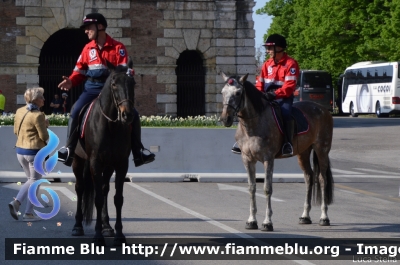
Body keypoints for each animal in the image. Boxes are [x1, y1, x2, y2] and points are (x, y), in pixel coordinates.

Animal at [220, 72, 332, 231]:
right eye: (222, 92)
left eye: (238, 93)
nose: (225, 118)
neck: (253, 126)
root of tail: (323, 109)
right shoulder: (247, 159)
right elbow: (251, 188)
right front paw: (251, 220)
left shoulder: (268, 159)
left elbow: (267, 188)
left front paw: (267, 222)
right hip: (303, 153)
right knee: (309, 177)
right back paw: (305, 216)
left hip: (322, 149)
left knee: (322, 179)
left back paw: (324, 217)